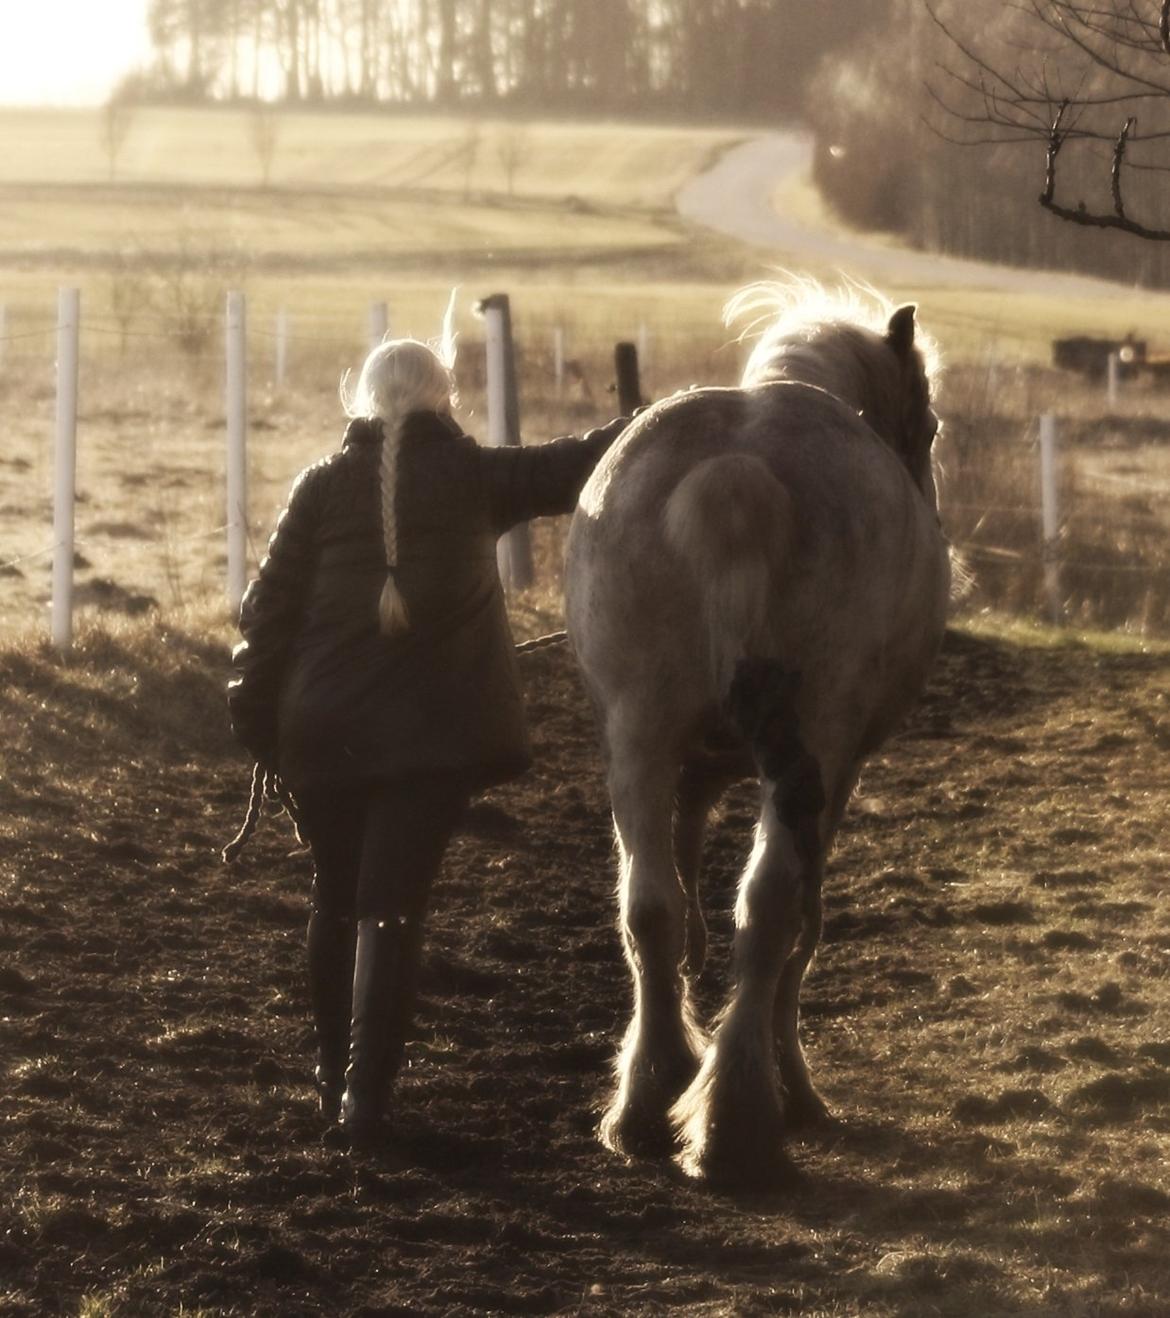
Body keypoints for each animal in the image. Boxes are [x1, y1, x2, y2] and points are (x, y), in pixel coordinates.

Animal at [563, 283, 948, 1191]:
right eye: (929, 426)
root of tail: (735, 477)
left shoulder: (693, 770)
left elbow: (683, 909)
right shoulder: (838, 773)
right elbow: (800, 924)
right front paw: (793, 1086)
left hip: (637, 739)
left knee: (648, 909)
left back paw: (648, 1100)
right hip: (807, 756)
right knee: (771, 909)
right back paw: (742, 1119)